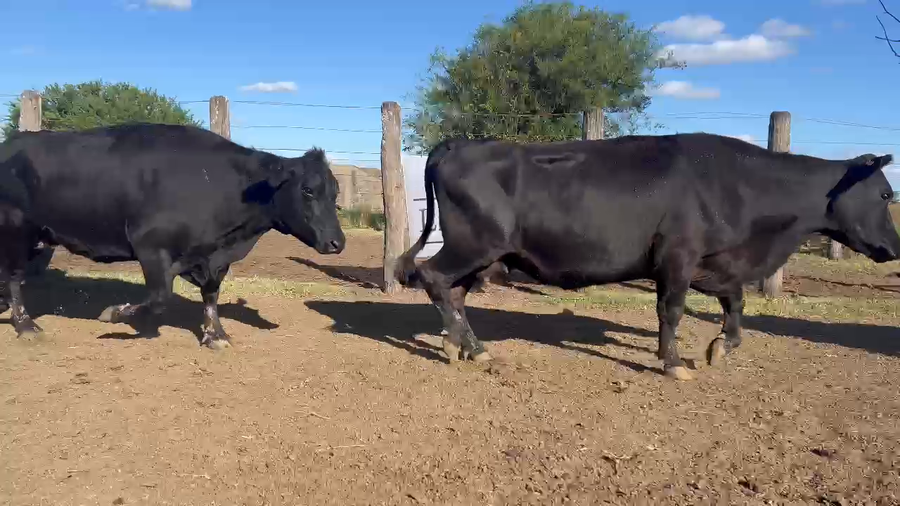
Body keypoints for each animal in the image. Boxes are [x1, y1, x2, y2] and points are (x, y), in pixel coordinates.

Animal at [0, 123, 345, 349]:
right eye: (308, 190)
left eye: (336, 192)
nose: (337, 243)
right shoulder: (150, 246)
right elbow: (159, 296)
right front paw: (115, 314)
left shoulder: (212, 258)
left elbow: (210, 294)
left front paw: (216, 335)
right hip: (16, 230)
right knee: (14, 278)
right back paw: (25, 325)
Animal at [395, 133, 900, 381]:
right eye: (886, 193)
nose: (894, 248)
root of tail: (458, 143)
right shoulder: (678, 257)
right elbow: (670, 311)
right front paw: (674, 363)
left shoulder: (714, 263)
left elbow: (736, 302)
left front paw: (720, 347)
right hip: (473, 245)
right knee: (434, 278)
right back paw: (469, 348)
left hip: (481, 253)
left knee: (455, 292)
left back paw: (461, 345)